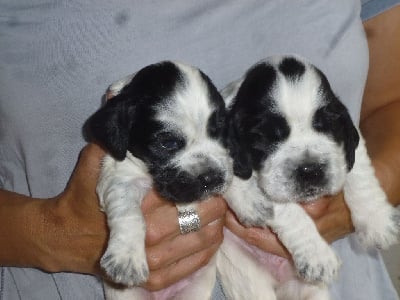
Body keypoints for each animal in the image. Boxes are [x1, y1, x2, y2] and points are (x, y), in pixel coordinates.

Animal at [86, 61, 233, 300]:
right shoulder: (120, 175)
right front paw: (127, 258)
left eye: (219, 132)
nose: (211, 178)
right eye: (168, 143)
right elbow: (129, 212)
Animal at [217, 55, 400, 298]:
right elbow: (287, 210)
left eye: (327, 125)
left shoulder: (350, 139)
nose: (310, 170)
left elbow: (359, 172)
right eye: (266, 136)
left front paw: (377, 221)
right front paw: (317, 256)